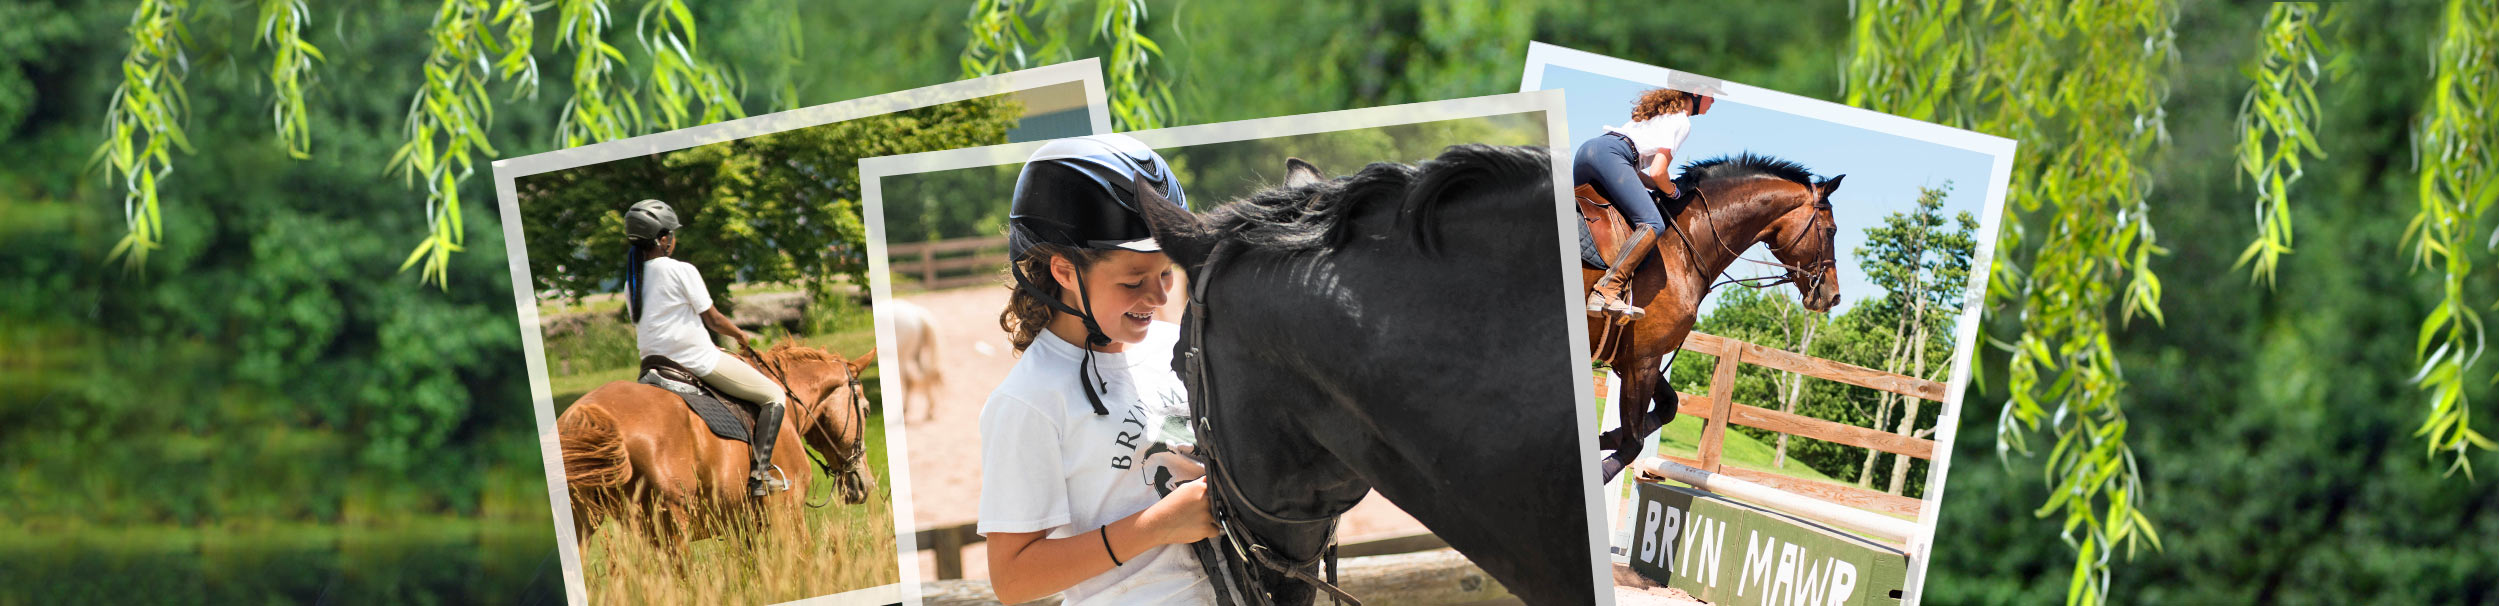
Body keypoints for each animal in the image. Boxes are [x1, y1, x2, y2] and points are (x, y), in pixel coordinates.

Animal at [562, 340, 885, 553]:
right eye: (866, 410)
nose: (865, 483)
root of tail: (586, 415)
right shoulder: (788, 515)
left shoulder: (744, 527)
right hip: (670, 529)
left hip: (586, 524)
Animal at [1590, 152, 1850, 483]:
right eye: (1831, 230)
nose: (1833, 296)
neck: (1680, 244)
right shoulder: (1642, 359)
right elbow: (1633, 443)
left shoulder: (1634, 359)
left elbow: (1668, 407)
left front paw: (1605, 437)